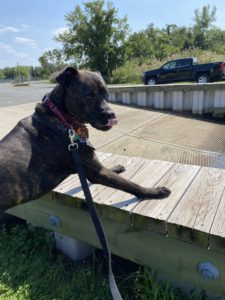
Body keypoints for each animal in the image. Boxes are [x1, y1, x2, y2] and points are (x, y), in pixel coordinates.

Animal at [0, 68, 170, 213]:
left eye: (107, 95)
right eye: (89, 96)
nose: (112, 115)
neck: (61, 118)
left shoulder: (94, 167)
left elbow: (111, 171)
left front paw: (116, 167)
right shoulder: (97, 172)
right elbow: (129, 184)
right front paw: (155, 191)